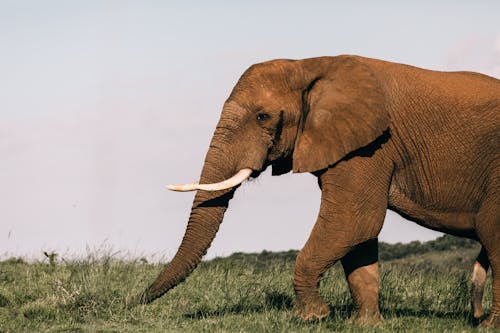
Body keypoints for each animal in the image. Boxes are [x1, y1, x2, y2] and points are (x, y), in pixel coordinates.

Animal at [137, 55, 500, 326]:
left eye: (262, 116)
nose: (133, 301)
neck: (310, 65)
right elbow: (358, 235)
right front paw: (365, 326)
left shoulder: (371, 145)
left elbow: (354, 221)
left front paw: (312, 317)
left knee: (491, 232)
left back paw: (488, 326)